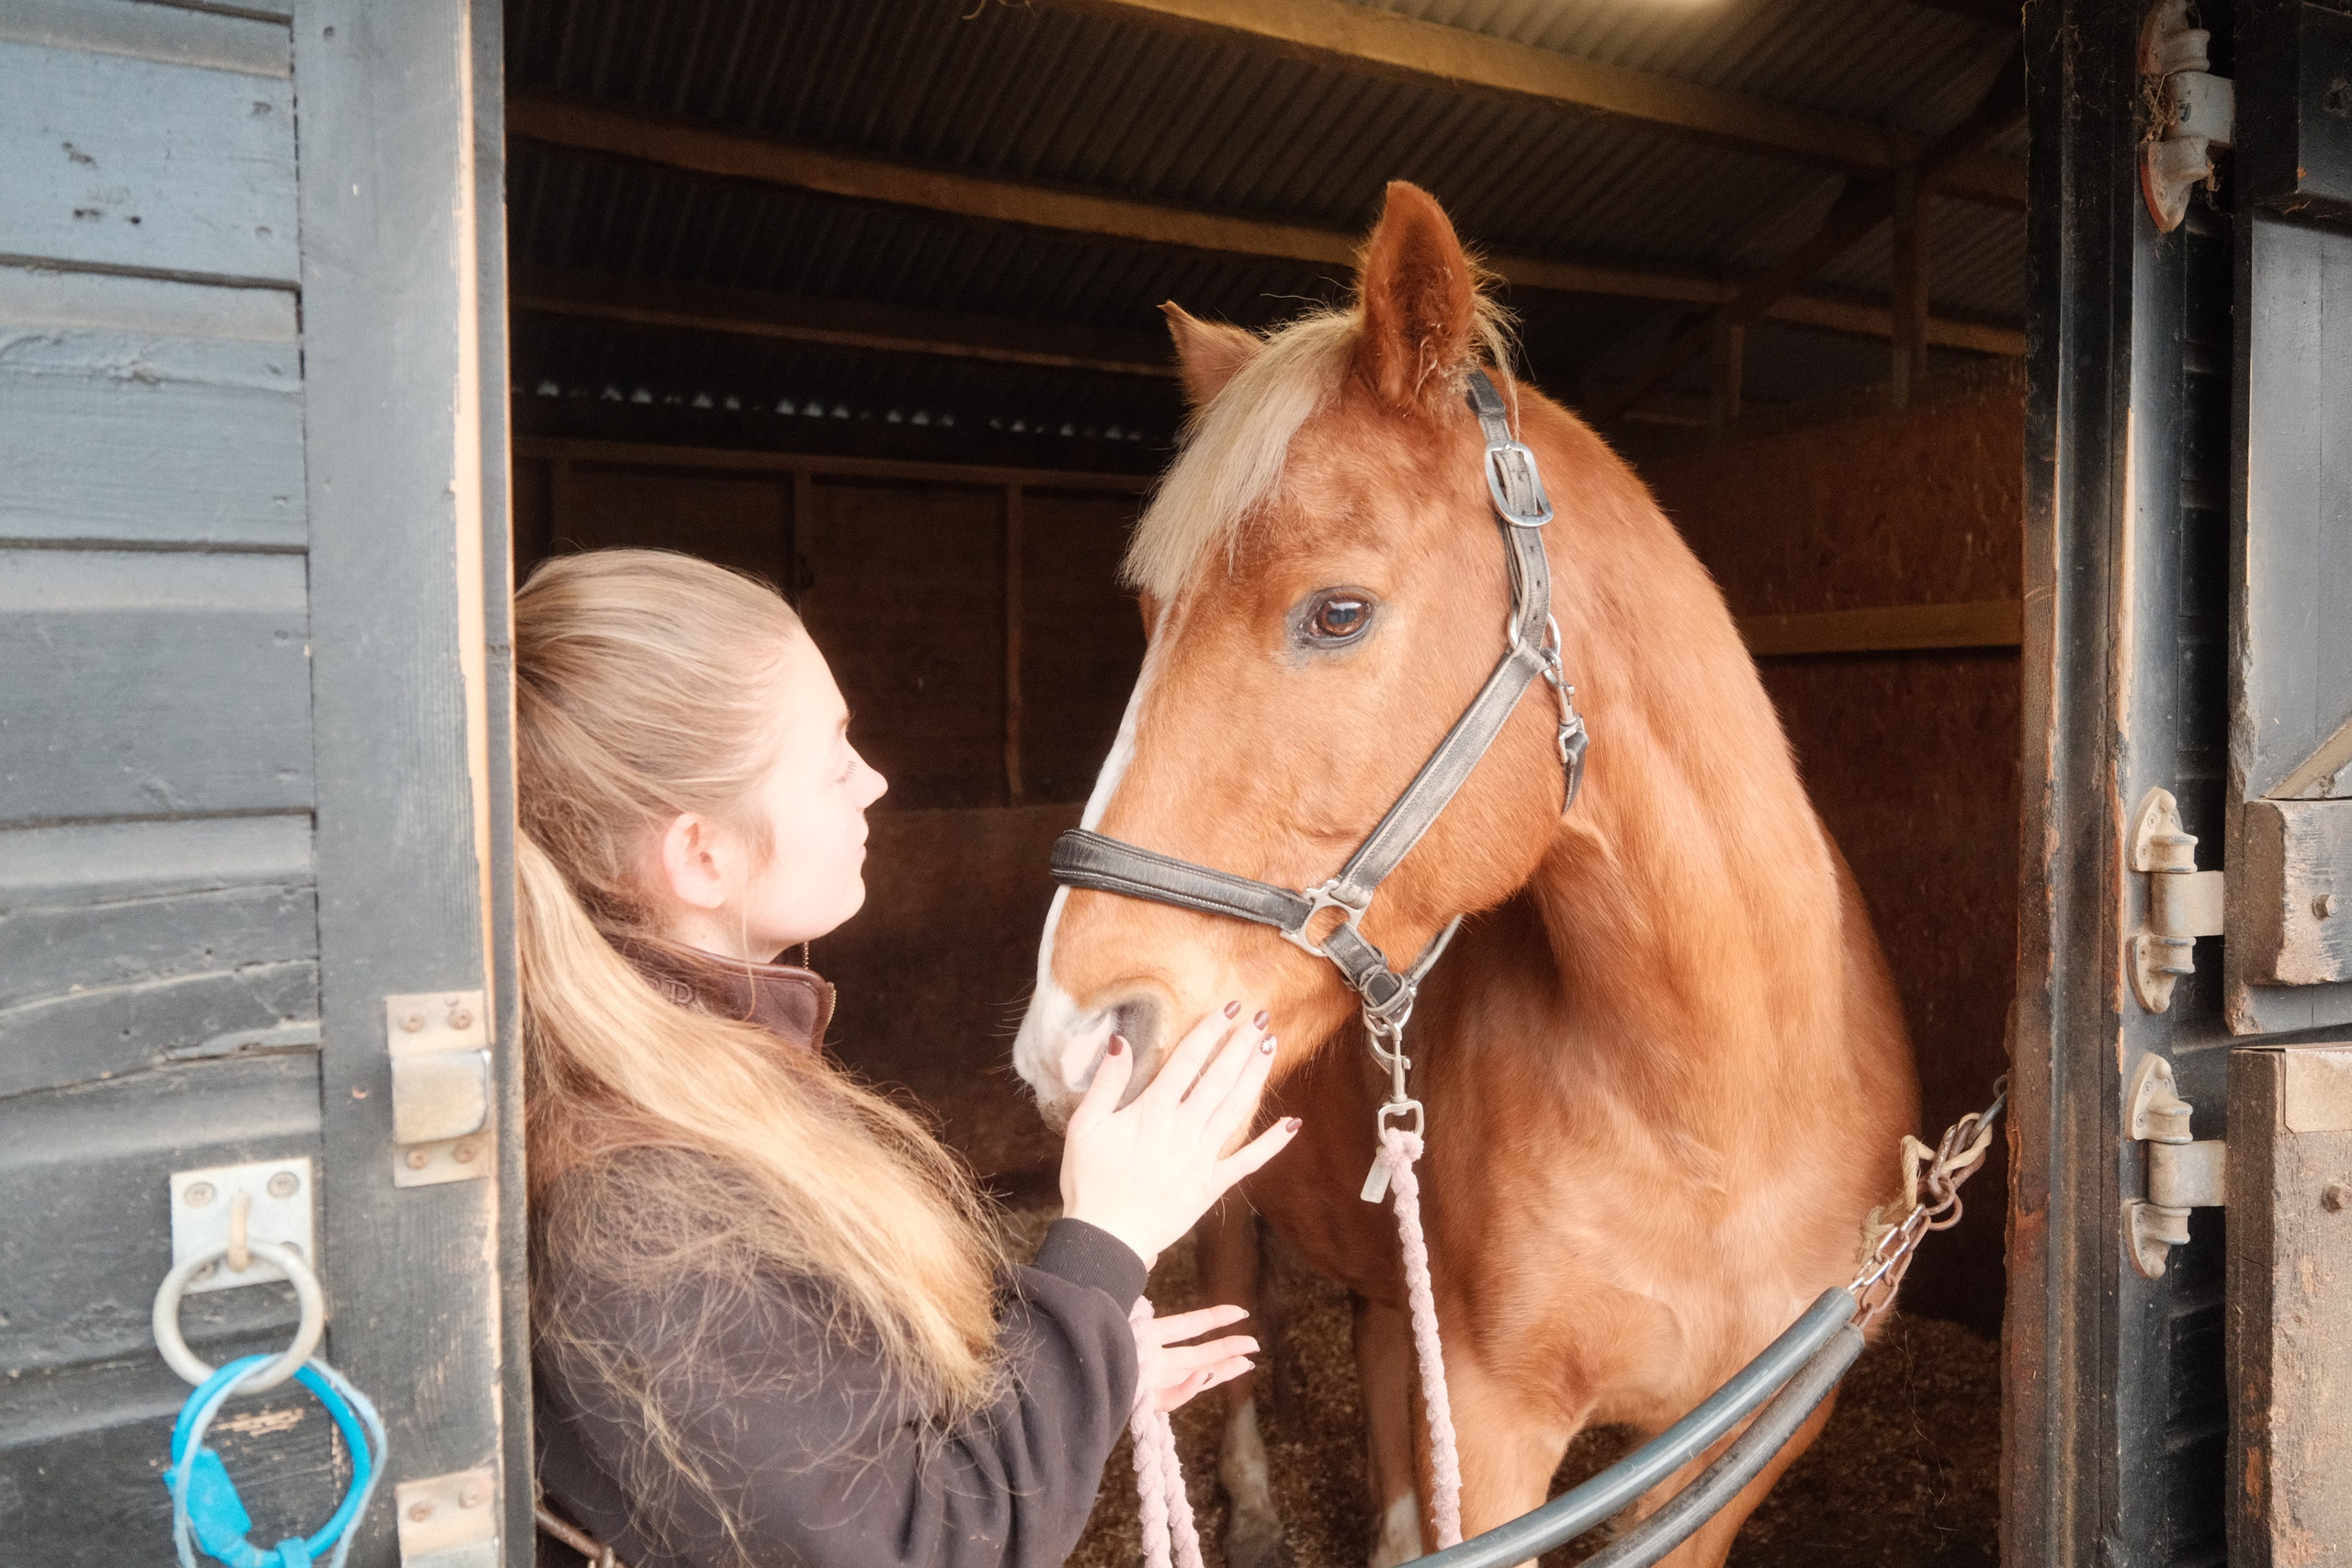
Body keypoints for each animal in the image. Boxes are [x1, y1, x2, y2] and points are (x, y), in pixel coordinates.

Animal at [1012, 181, 1919, 1568]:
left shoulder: (1741, 1450)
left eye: (1337, 612)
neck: (1718, 1102)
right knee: (1238, 1321)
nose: (1074, 1033)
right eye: (1152, 618)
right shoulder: (1496, 1429)